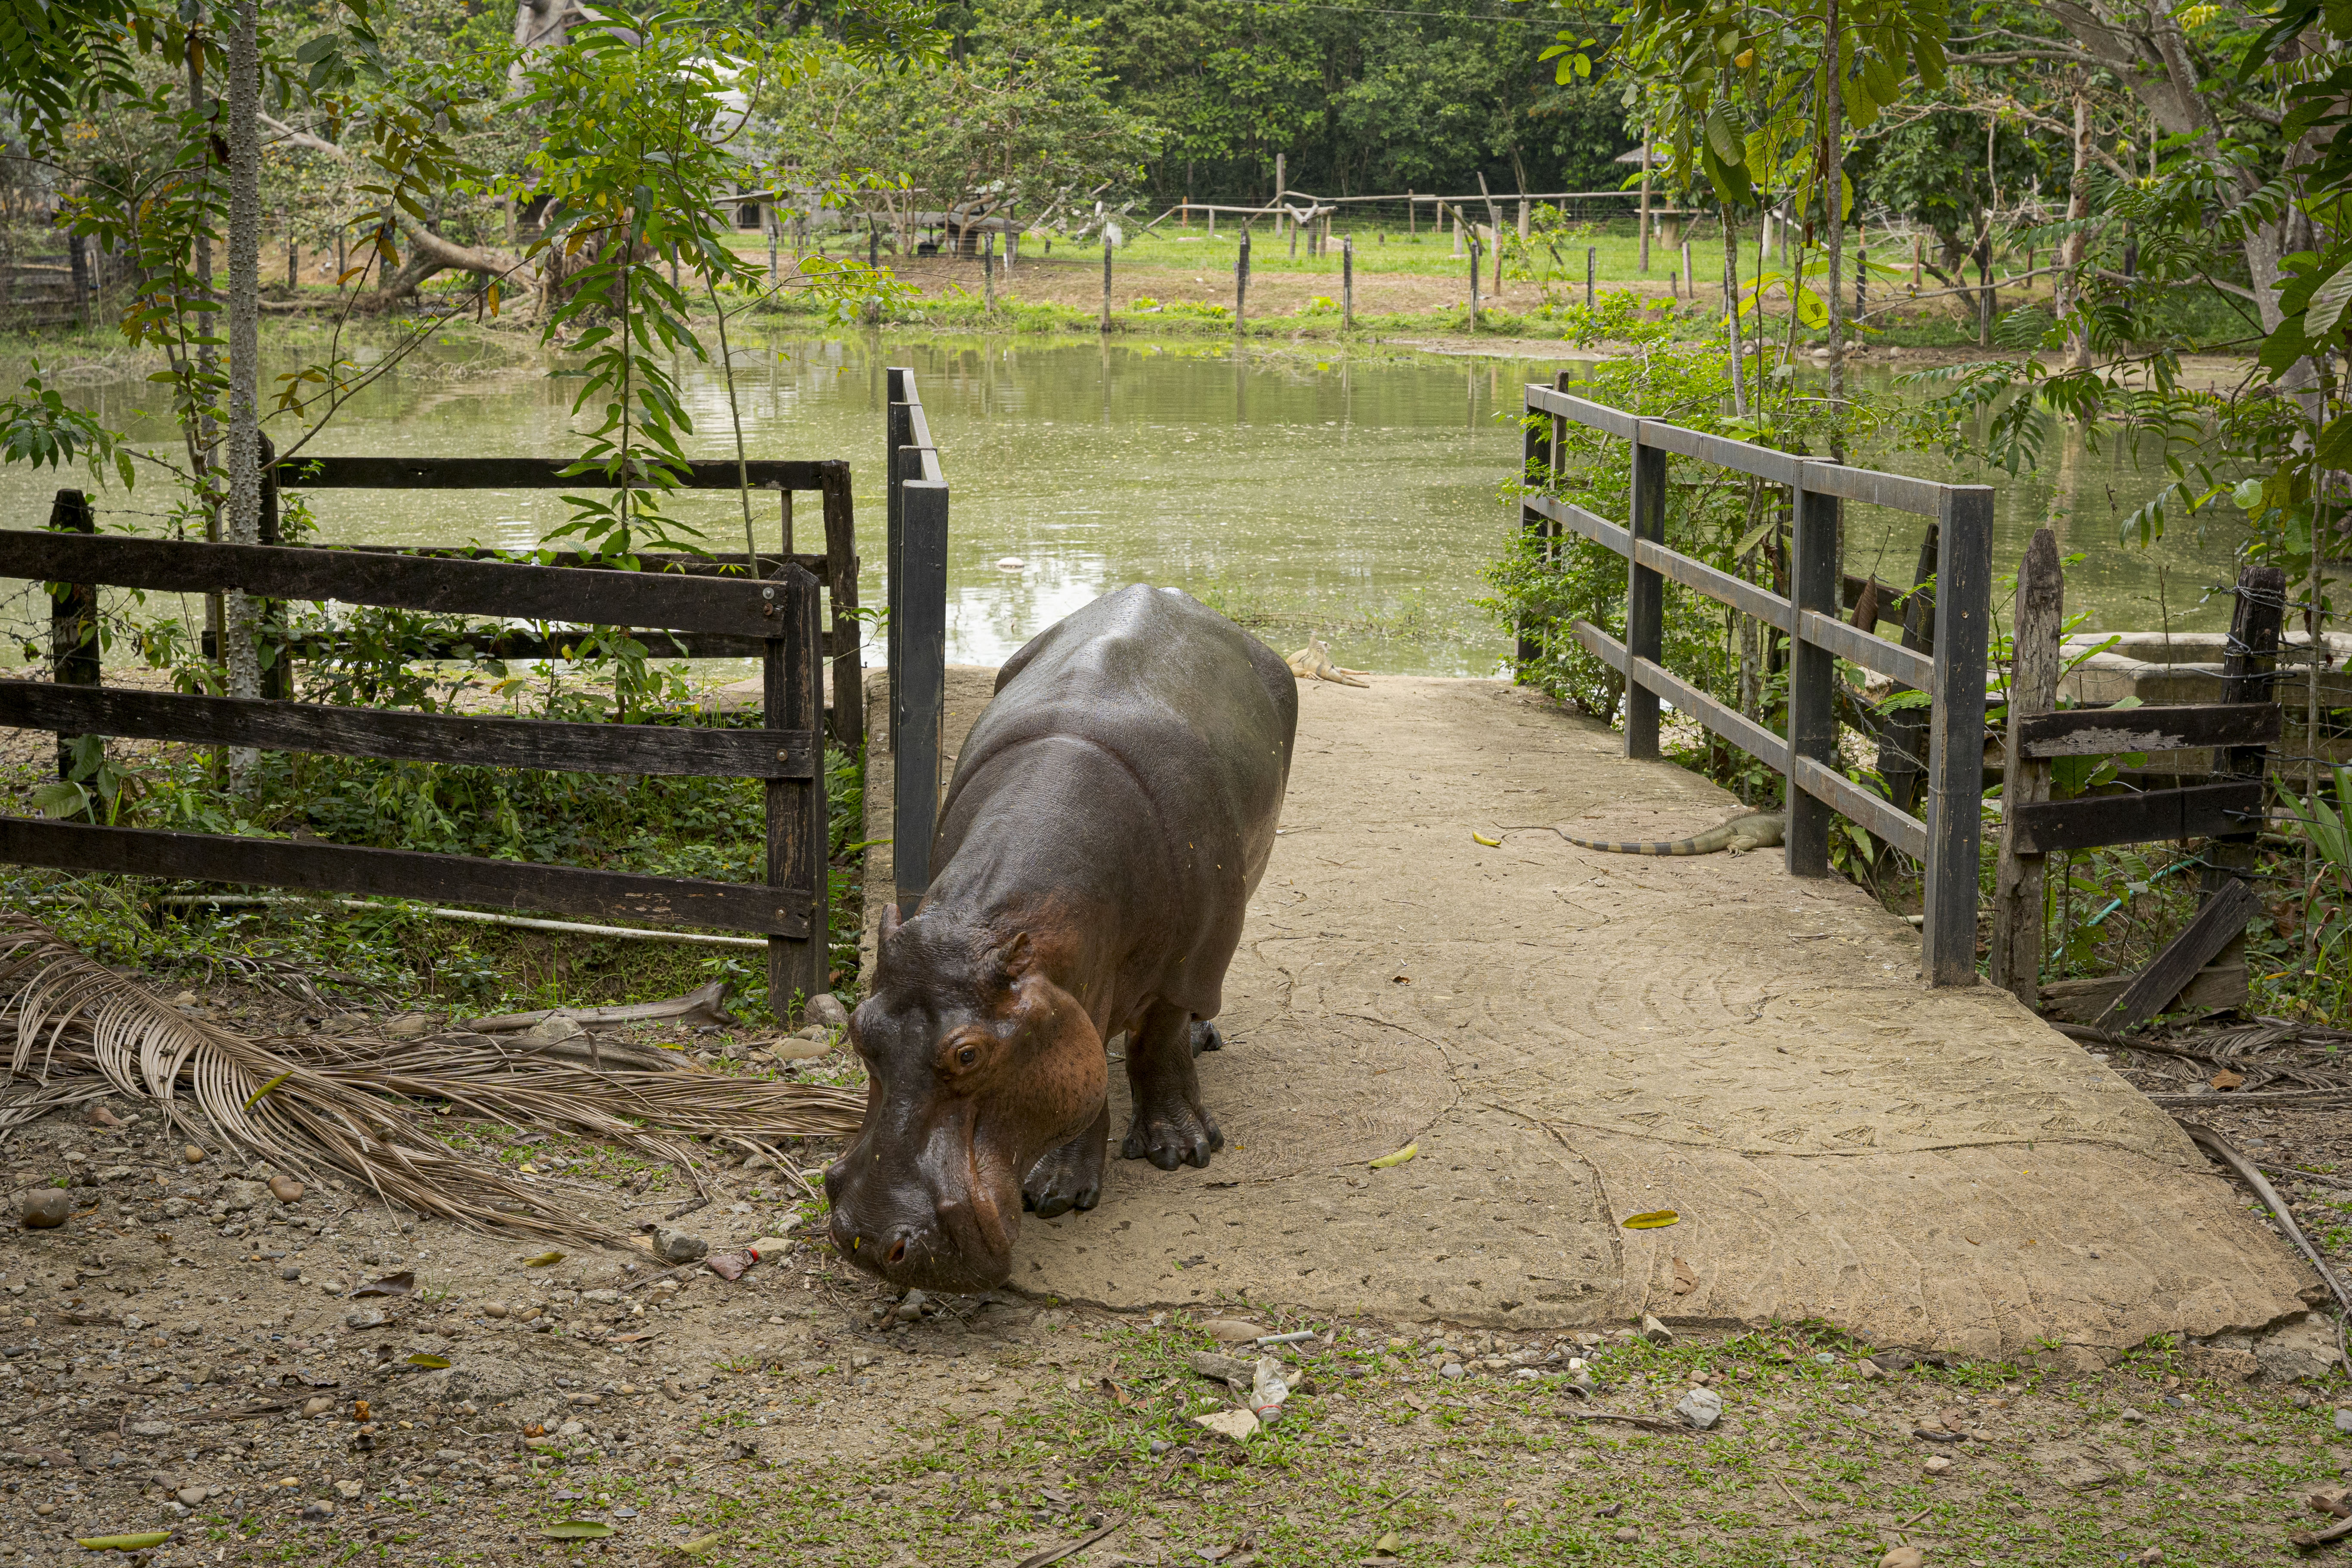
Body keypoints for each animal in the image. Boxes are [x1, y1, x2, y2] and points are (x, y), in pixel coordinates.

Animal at [825, 585, 1298, 1292]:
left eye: (968, 1055)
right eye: (859, 1029)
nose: (869, 1240)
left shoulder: (1190, 958)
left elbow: (1156, 1043)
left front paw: (1180, 1152)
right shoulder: (1072, 988)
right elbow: (1085, 1066)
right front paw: (1059, 1189)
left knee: (1183, 1017)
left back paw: (1201, 1039)